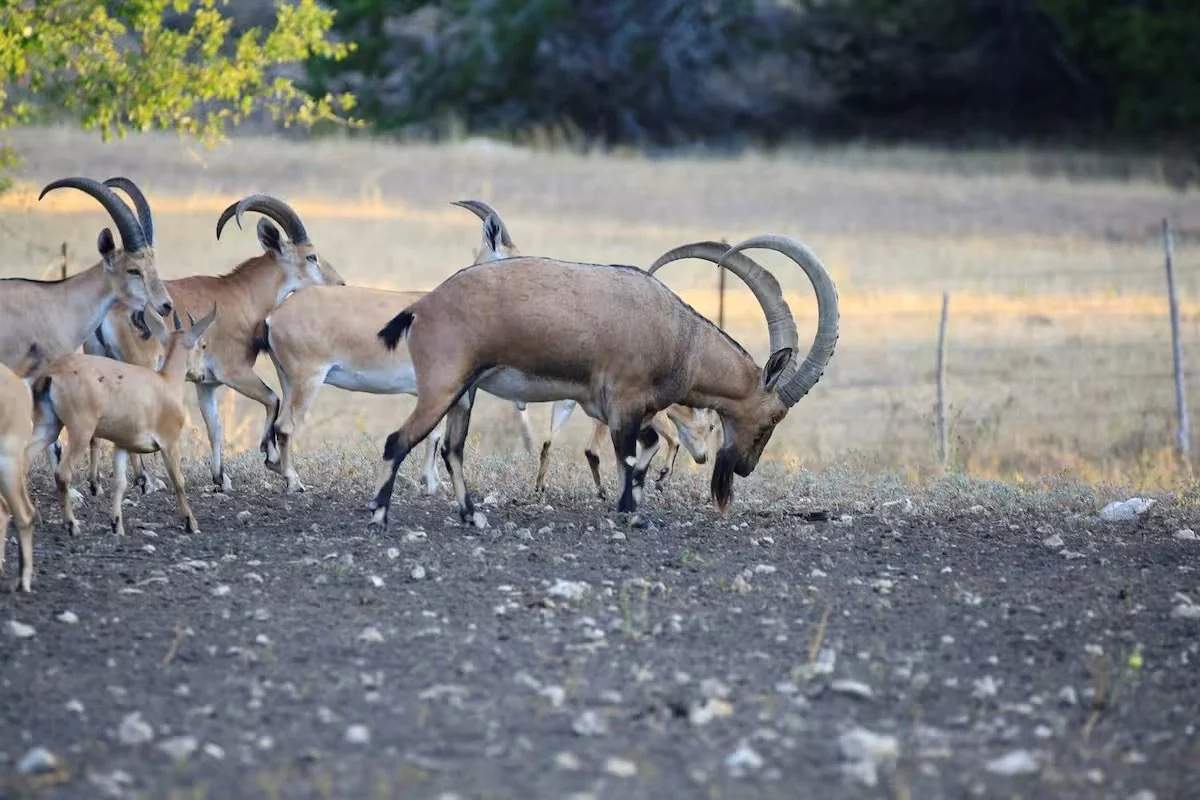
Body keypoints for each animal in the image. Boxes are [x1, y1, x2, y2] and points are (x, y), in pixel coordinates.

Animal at [28, 306, 218, 537]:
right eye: (203, 345)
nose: (202, 375)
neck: (166, 383)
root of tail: (51, 375)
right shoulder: (169, 443)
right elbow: (178, 481)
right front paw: (191, 522)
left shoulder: (122, 446)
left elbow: (120, 483)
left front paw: (116, 524)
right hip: (80, 431)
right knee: (62, 473)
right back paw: (71, 525)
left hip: (48, 425)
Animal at [80, 192, 344, 495]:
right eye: (311, 256)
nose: (340, 284)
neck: (243, 296)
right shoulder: (234, 371)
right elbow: (272, 399)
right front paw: (271, 457)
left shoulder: (206, 384)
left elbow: (214, 427)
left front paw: (220, 477)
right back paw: (146, 480)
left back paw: (96, 482)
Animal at [369, 234, 839, 529]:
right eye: (774, 416)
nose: (743, 468)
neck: (680, 340)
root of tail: (421, 308)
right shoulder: (624, 402)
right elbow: (629, 455)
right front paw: (634, 514)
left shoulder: (626, 409)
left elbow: (645, 449)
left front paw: (631, 502)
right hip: (442, 387)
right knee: (398, 440)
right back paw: (378, 516)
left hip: (463, 396)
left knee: (453, 448)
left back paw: (473, 516)